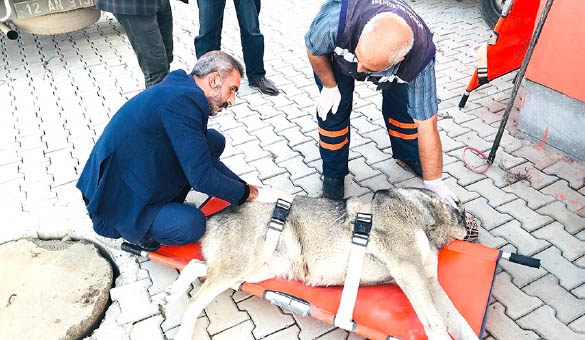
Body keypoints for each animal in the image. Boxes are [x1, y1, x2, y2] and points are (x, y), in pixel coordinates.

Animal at [161, 187, 480, 340]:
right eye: (467, 215)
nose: (476, 226)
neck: (424, 212)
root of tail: (212, 216)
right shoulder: (408, 270)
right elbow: (436, 323)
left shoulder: (427, 280)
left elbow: (460, 322)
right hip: (239, 267)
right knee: (195, 301)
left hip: (251, 271)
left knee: (195, 264)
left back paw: (174, 292)